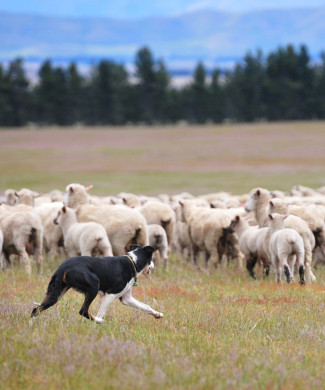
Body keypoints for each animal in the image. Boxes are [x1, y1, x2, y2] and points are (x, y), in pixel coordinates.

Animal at [30, 244, 163, 322]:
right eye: (151, 258)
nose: (154, 265)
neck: (133, 262)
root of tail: (63, 267)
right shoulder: (111, 294)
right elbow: (101, 312)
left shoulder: (126, 298)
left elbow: (146, 307)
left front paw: (158, 314)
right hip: (93, 286)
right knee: (83, 311)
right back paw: (99, 322)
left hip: (56, 293)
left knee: (36, 309)